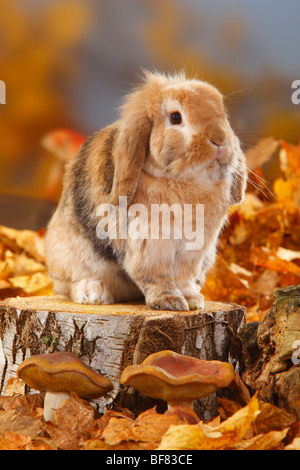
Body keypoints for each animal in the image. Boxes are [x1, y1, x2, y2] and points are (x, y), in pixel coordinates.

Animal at [45, 70, 247, 310]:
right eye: (176, 117)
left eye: (222, 113)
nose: (219, 139)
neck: (186, 181)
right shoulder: (150, 242)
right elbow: (155, 274)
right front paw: (170, 302)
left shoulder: (193, 248)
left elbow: (183, 276)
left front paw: (191, 300)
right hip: (70, 259)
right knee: (69, 285)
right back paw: (94, 293)